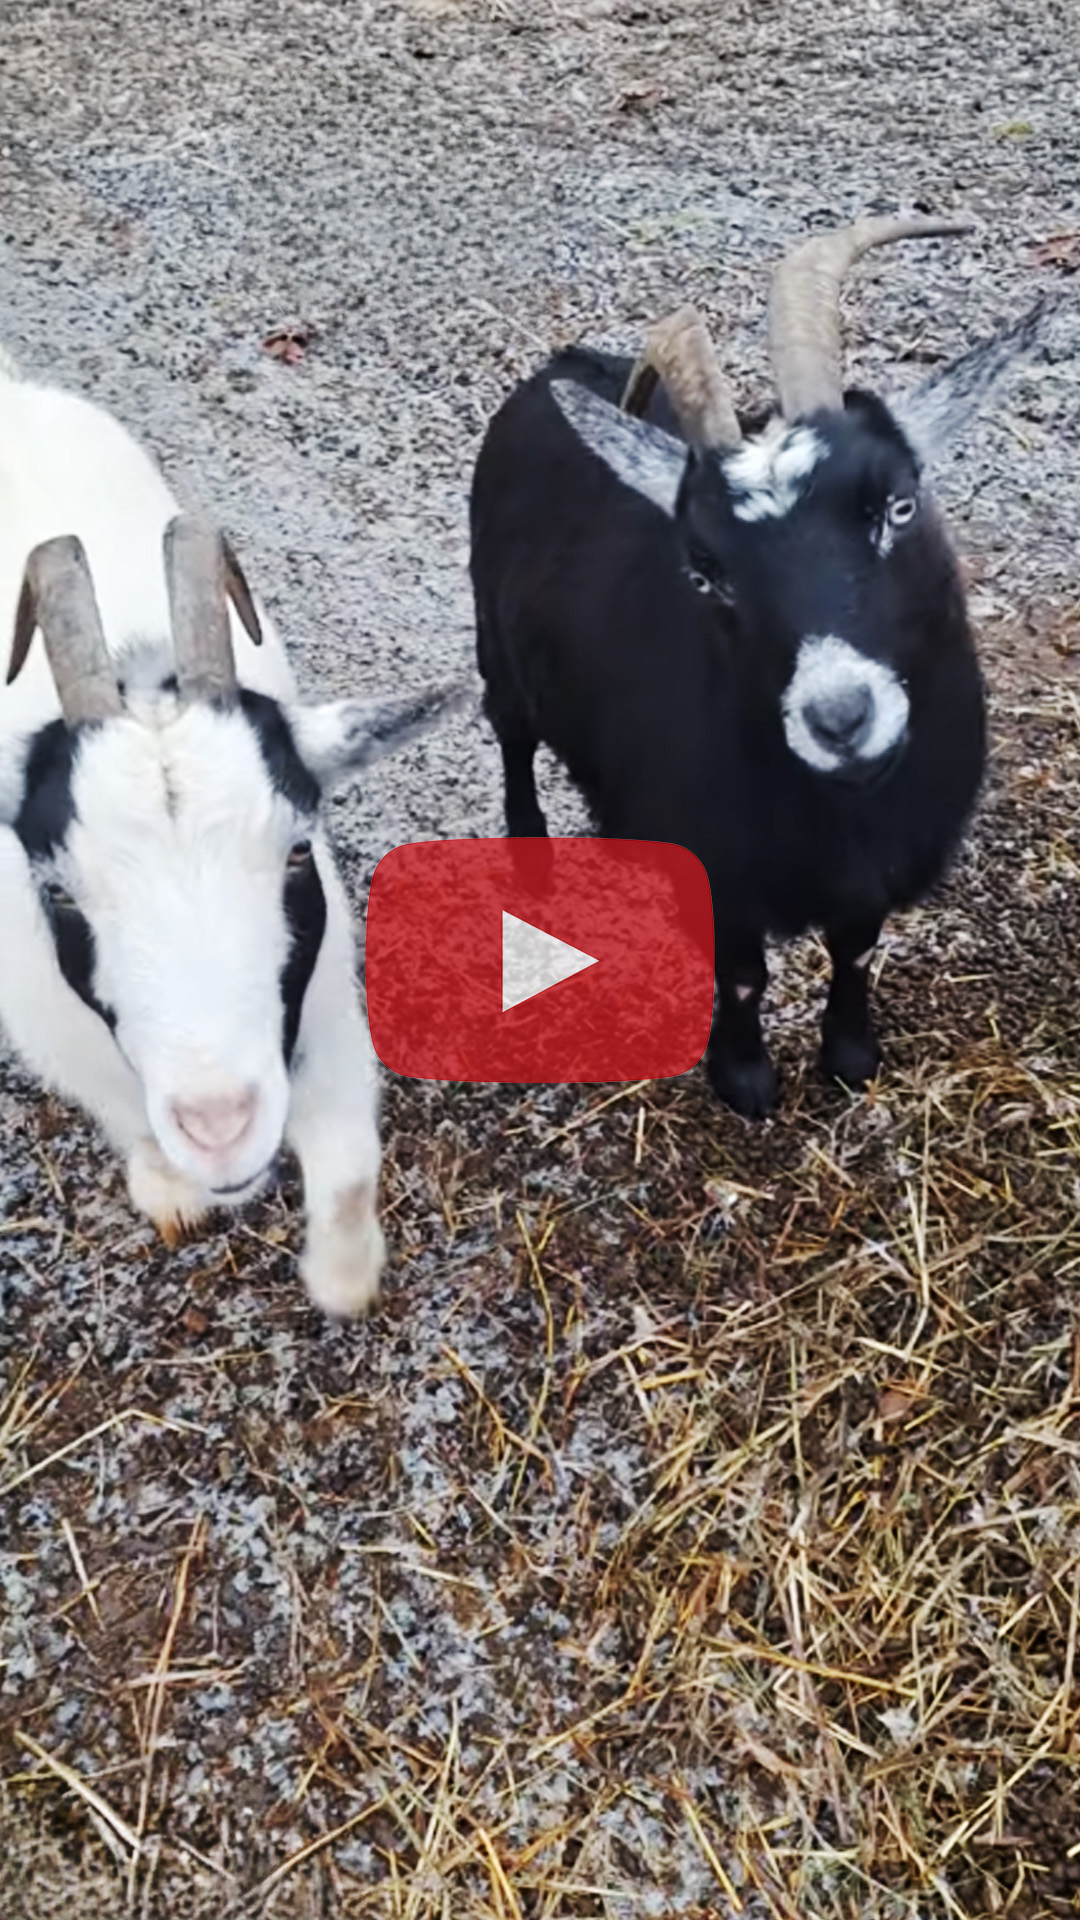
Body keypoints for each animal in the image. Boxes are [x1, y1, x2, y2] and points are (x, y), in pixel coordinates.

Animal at [0, 353, 458, 1314]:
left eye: (295, 848)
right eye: (57, 890)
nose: (222, 1127)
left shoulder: (322, 1000)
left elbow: (349, 1168)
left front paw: (345, 1277)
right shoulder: (70, 1046)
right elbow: (132, 1125)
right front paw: (174, 1193)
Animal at [470, 215, 1047, 1116]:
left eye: (899, 506)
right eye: (705, 569)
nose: (840, 717)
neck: (841, 819)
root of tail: (560, 367)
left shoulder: (873, 875)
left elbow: (856, 948)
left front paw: (850, 1055)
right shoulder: (718, 868)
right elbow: (742, 973)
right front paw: (743, 1077)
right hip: (494, 641)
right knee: (513, 737)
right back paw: (530, 858)